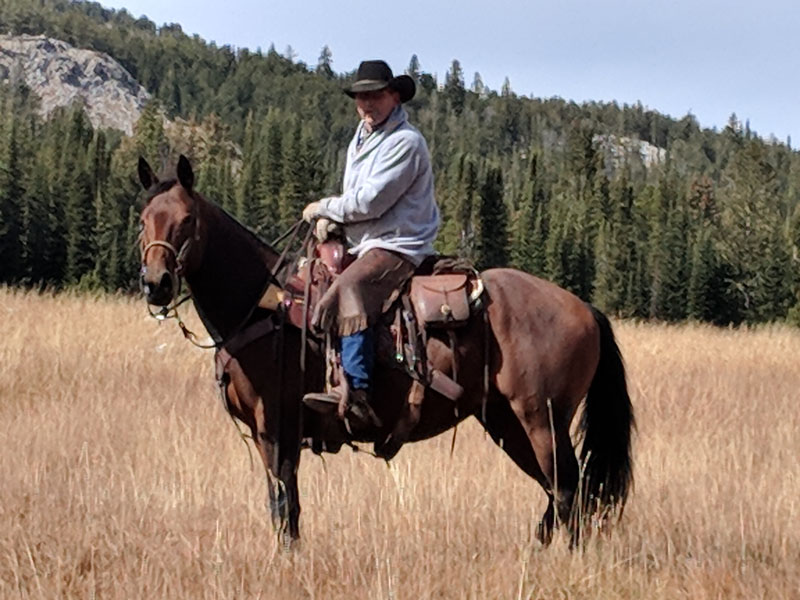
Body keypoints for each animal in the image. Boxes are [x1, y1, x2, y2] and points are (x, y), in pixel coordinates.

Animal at [139, 156, 636, 548]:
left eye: (187, 220)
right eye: (143, 218)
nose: (155, 283)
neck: (264, 305)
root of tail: (585, 308)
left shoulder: (277, 426)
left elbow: (284, 507)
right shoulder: (267, 435)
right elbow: (283, 506)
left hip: (542, 419)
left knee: (570, 490)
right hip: (506, 422)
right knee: (558, 491)